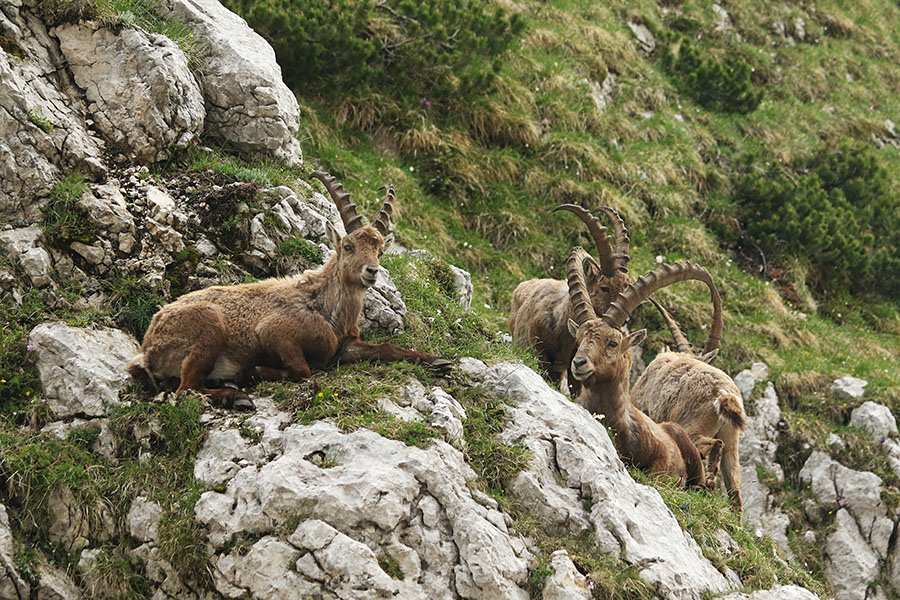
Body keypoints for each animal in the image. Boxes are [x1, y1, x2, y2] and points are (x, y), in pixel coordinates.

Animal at [126, 170, 450, 409]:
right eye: (348, 246)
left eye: (380, 251)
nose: (372, 271)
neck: (323, 308)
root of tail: (147, 347)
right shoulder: (275, 332)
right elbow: (303, 370)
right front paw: (253, 372)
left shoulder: (345, 345)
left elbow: (386, 348)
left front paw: (438, 360)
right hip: (208, 327)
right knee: (186, 389)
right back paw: (237, 395)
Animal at [509, 204, 631, 393]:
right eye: (604, 287)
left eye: (626, 286)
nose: (625, 319)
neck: (560, 321)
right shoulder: (540, 355)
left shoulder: (575, 365)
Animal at [631, 297, 746, 507]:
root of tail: (724, 394)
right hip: (732, 439)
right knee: (735, 488)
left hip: (693, 427)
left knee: (713, 445)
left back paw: (709, 483)